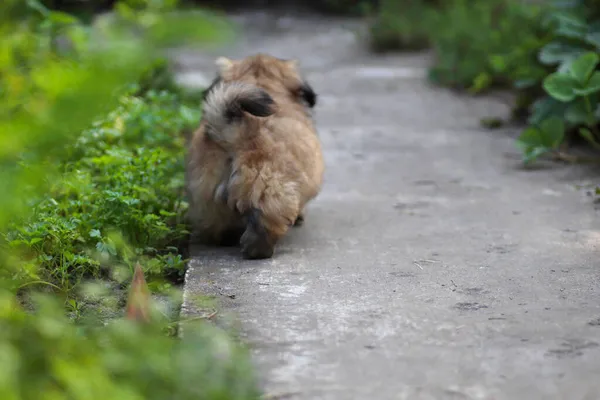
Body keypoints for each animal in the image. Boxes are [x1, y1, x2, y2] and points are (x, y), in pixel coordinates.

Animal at [186, 53, 324, 260]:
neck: (260, 81)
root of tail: (234, 130)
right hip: (270, 187)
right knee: (265, 220)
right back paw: (259, 249)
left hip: (205, 190)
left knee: (216, 221)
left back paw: (226, 238)